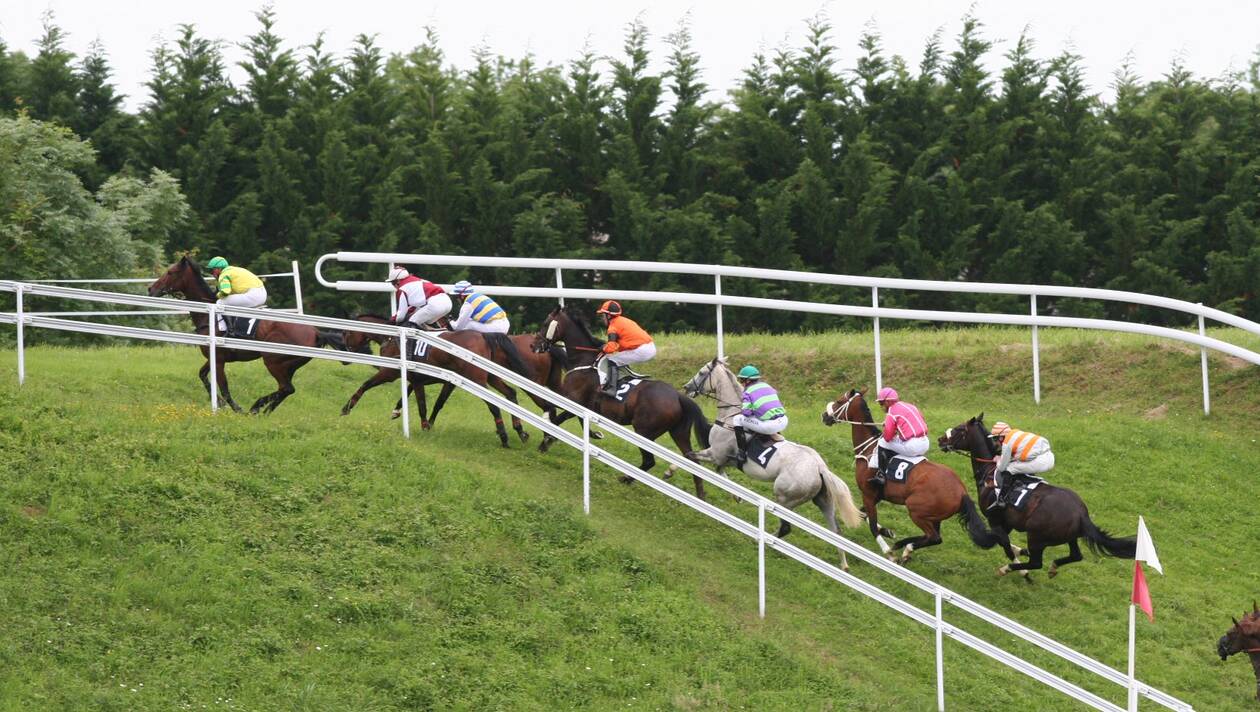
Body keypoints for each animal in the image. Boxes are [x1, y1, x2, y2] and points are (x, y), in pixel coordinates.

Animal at [146, 255, 345, 413]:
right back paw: (264, 410)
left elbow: (224, 388)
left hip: (273, 361)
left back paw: (257, 407)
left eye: (170, 272)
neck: (209, 315)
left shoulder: (218, 359)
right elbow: (202, 375)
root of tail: (316, 332)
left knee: (286, 388)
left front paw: (235, 408)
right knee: (286, 389)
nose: (150, 289)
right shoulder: (213, 356)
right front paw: (219, 402)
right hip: (289, 366)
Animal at [340, 315, 541, 446]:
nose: (345, 357)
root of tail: (483, 336)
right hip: (490, 376)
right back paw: (520, 430)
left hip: (476, 379)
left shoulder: (391, 372)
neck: (393, 336)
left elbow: (368, 385)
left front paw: (346, 408)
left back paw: (504, 436)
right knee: (511, 393)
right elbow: (428, 401)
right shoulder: (430, 379)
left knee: (493, 404)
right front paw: (404, 414)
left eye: (347, 333)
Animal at [529, 304, 710, 499]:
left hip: (644, 431)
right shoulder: (582, 406)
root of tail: (678, 396)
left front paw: (545, 442)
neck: (584, 360)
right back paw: (700, 494)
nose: (533, 345)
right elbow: (580, 422)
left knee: (649, 461)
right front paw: (594, 434)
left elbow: (557, 421)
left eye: (545, 323)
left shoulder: (573, 400)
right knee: (693, 463)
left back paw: (626, 478)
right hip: (678, 433)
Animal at [821, 388, 997, 562]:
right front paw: (887, 531)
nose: (824, 415)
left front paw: (887, 551)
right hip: (934, 516)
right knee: (934, 537)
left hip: (916, 509)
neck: (868, 448)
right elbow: (863, 514)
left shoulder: (869, 494)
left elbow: (871, 525)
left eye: (839, 401)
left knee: (934, 537)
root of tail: (962, 492)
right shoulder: (876, 495)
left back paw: (904, 547)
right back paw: (904, 545)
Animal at [937, 415, 1134, 577]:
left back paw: (1009, 569)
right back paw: (1053, 567)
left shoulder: (994, 519)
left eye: (958, 429)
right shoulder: (1006, 522)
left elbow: (1004, 544)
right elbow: (1003, 542)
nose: (940, 440)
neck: (988, 472)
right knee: (1076, 555)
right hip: (1069, 536)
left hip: (1036, 536)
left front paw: (1019, 565)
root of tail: (1081, 514)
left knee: (1036, 562)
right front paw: (1019, 551)